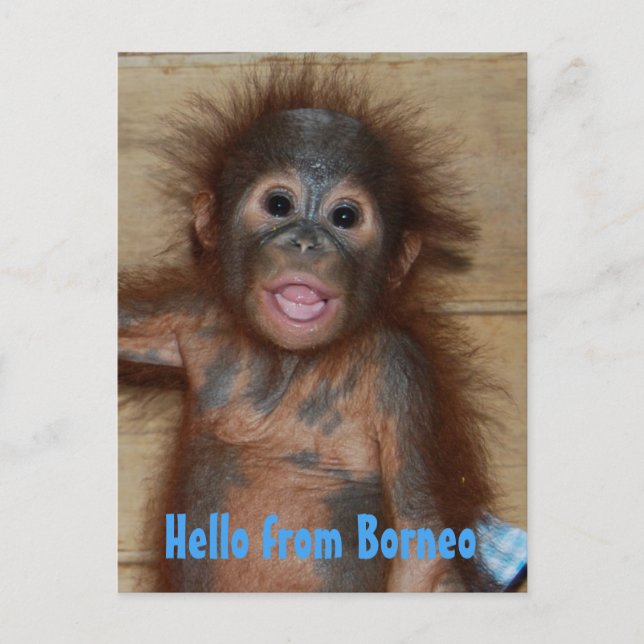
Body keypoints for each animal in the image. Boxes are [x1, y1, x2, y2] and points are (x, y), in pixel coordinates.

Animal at [119, 56, 527, 592]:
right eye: (279, 205)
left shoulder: (404, 373)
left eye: (345, 216)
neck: (290, 360)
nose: (307, 242)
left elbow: (422, 541)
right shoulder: (195, 316)